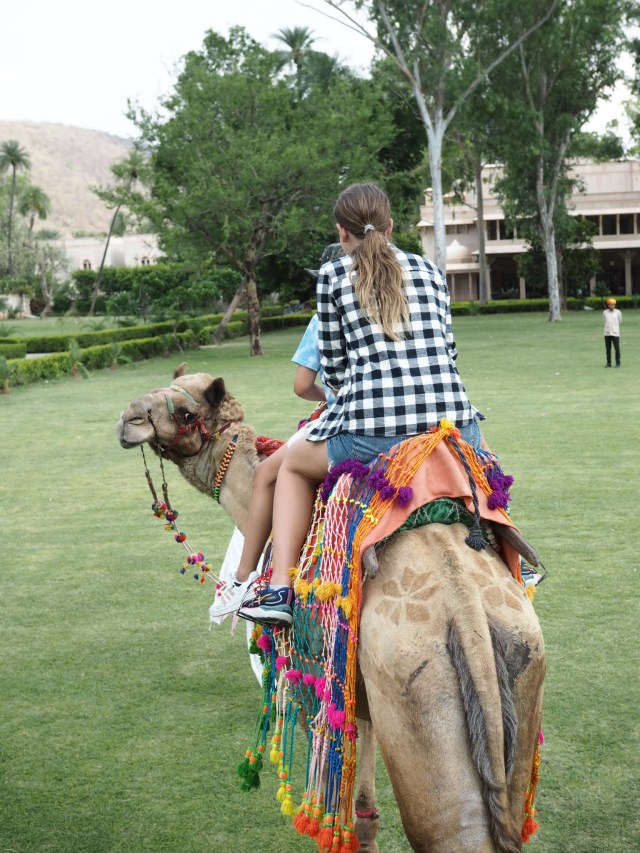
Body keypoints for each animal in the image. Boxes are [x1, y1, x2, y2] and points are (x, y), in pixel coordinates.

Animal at [116, 370, 546, 853]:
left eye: (188, 413)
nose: (128, 420)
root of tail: (469, 620)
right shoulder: (360, 693)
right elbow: (365, 814)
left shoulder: (313, 678)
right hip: (519, 678)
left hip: (421, 697)